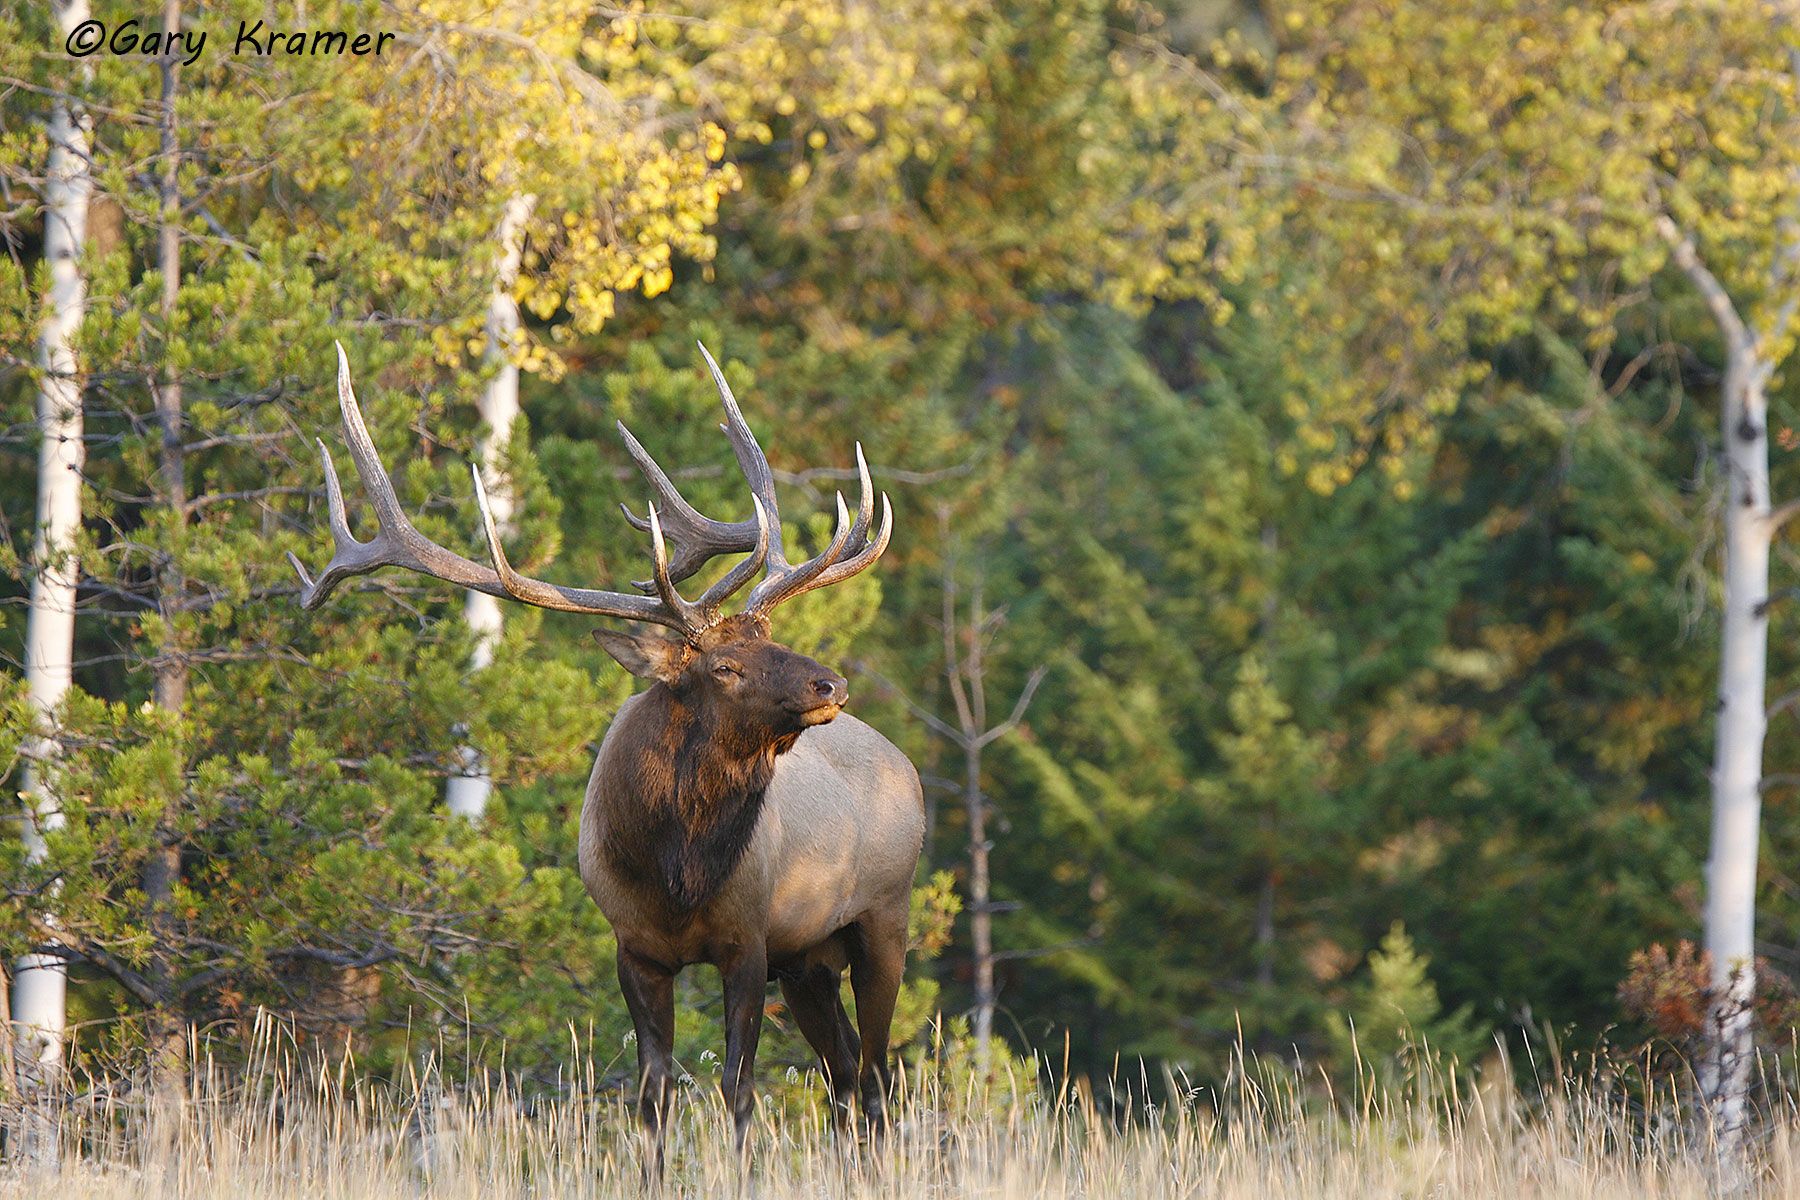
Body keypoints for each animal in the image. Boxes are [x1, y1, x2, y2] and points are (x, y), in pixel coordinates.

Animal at [289, 343, 924, 1158]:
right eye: (725, 665)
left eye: (768, 636)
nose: (830, 682)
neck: (674, 872)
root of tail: (903, 761)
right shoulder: (636, 949)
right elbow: (654, 1093)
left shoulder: (748, 939)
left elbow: (738, 1089)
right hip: (810, 959)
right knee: (846, 1069)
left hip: (883, 916)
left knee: (876, 1076)